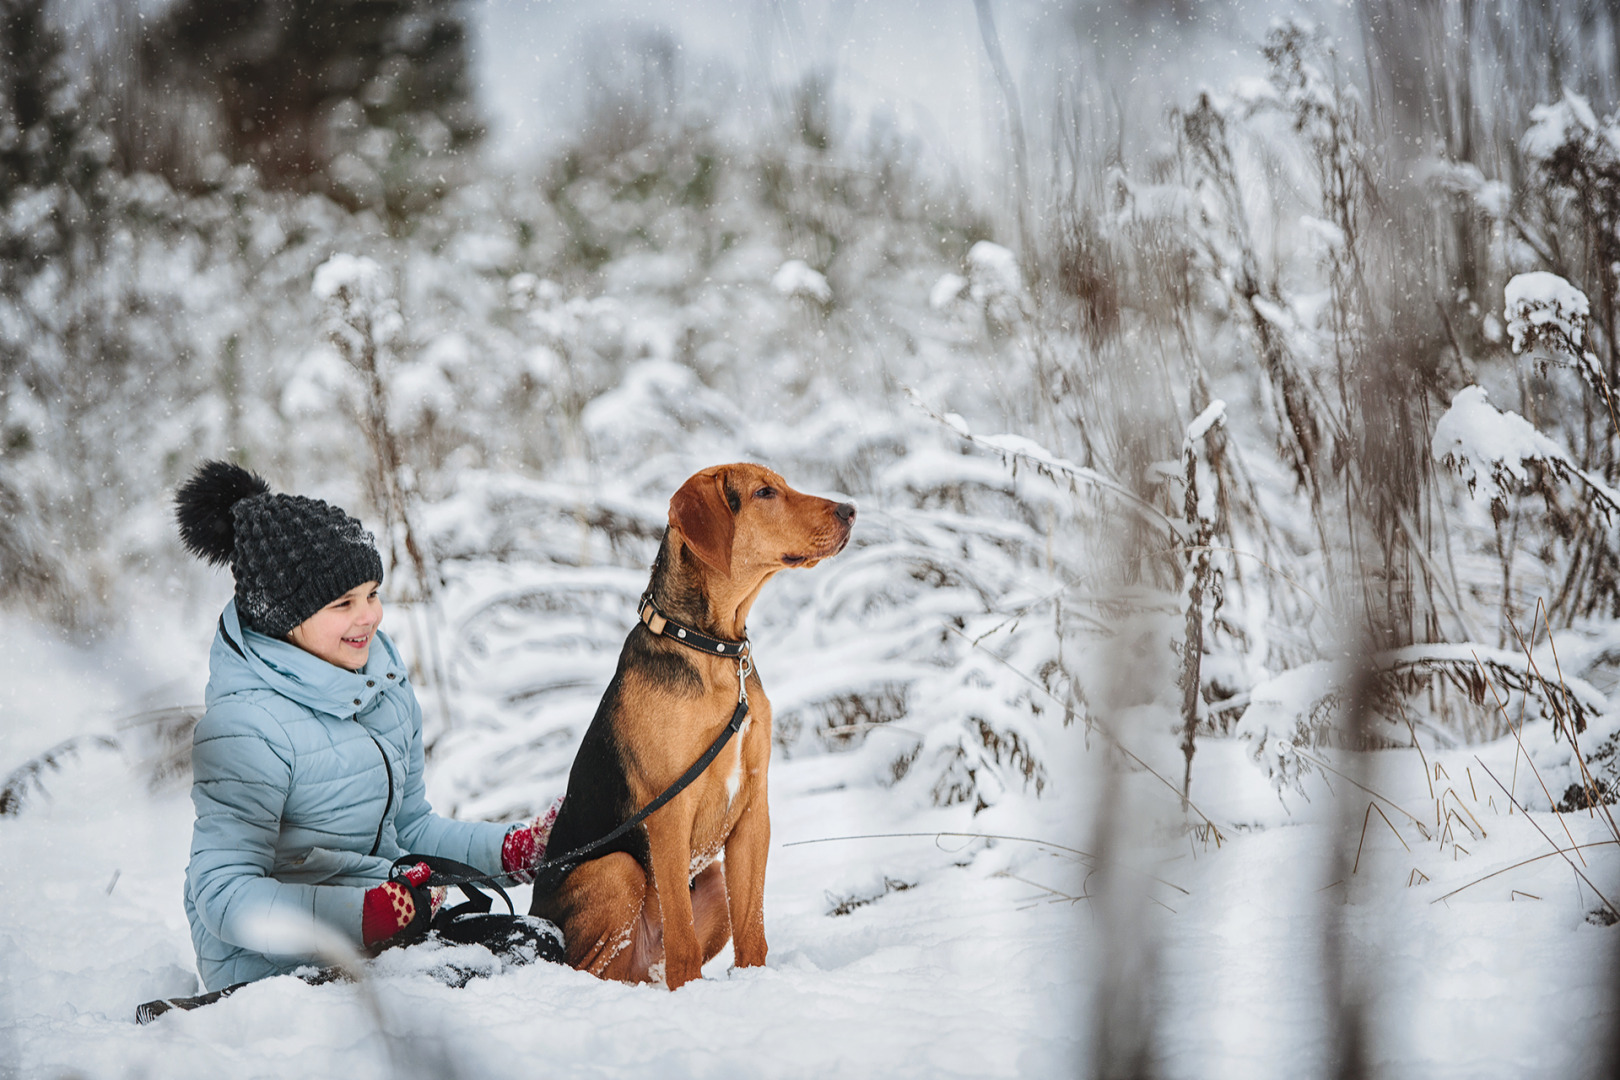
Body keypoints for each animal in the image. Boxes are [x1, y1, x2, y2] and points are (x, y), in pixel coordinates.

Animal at [531, 463, 861, 990]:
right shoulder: (670, 814)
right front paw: (690, 995)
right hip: (618, 871)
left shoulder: (753, 809)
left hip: (709, 881)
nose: (850, 510)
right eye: (764, 493)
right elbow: (682, 943)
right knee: (584, 965)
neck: (712, 649)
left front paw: (756, 985)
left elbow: (753, 930)